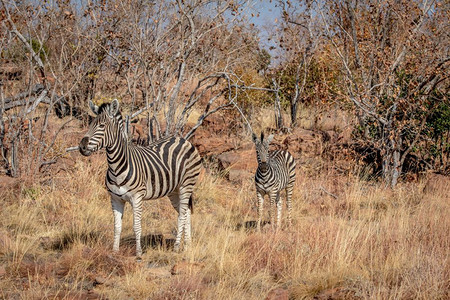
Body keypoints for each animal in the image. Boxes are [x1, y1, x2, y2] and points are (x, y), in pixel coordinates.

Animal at [79, 99, 202, 256]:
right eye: (90, 124)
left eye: (101, 125)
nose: (82, 146)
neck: (116, 166)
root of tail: (182, 139)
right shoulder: (115, 199)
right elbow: (117, 227)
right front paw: (114, 252)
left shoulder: (137, 198)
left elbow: (136, 226)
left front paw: (138, 253)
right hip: (174, 190)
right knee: (185, 212)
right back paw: (187, 246)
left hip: (187, 184)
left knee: (181, 215)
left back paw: (176, 247)